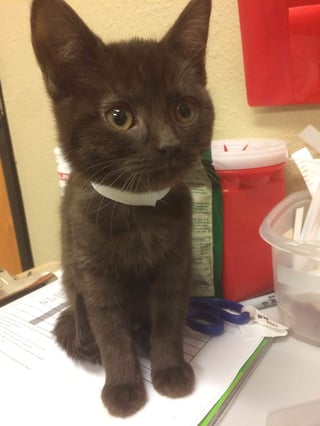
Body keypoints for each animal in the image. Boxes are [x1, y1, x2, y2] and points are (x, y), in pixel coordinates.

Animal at [31, 0, 214, 420]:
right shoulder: (93, 271)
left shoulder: (176, 263)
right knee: (79, 310)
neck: (137, 211)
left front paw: (170, 369)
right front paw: (123, 387)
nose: (169, 146)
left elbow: (169, 317)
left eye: (184, 110)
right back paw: (87, 344)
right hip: (71, 270)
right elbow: (110, 329)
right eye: (119, 117)